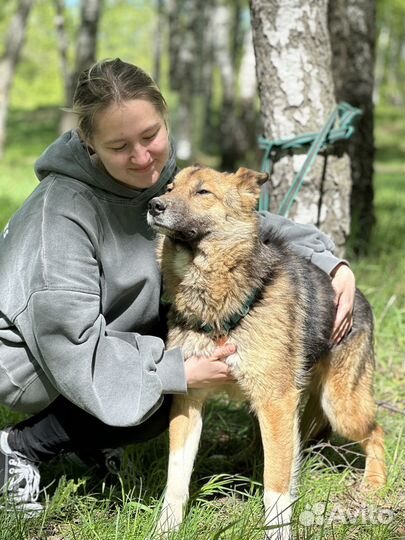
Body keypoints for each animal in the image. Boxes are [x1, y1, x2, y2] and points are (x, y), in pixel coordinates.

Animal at [146, 167, 386, 536]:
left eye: (203, 192)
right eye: (170, 188)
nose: (154, 205)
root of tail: (359, 295)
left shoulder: (276, 401)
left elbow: (275, 483)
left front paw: (277, 531)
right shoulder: (189, 400)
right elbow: (176, 477)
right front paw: (166, 528)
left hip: (340, 406)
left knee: (377, 432)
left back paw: (374, 483)